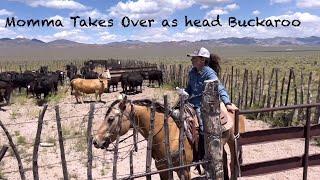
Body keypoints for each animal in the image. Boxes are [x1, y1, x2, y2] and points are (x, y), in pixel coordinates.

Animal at [92, 95, 245, 179]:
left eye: (111, 119)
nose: (95, 141)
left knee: (233, 161)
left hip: (232, 140)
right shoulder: (163, 170)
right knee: (222, 157)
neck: (167, 135)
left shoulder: (184, 171)